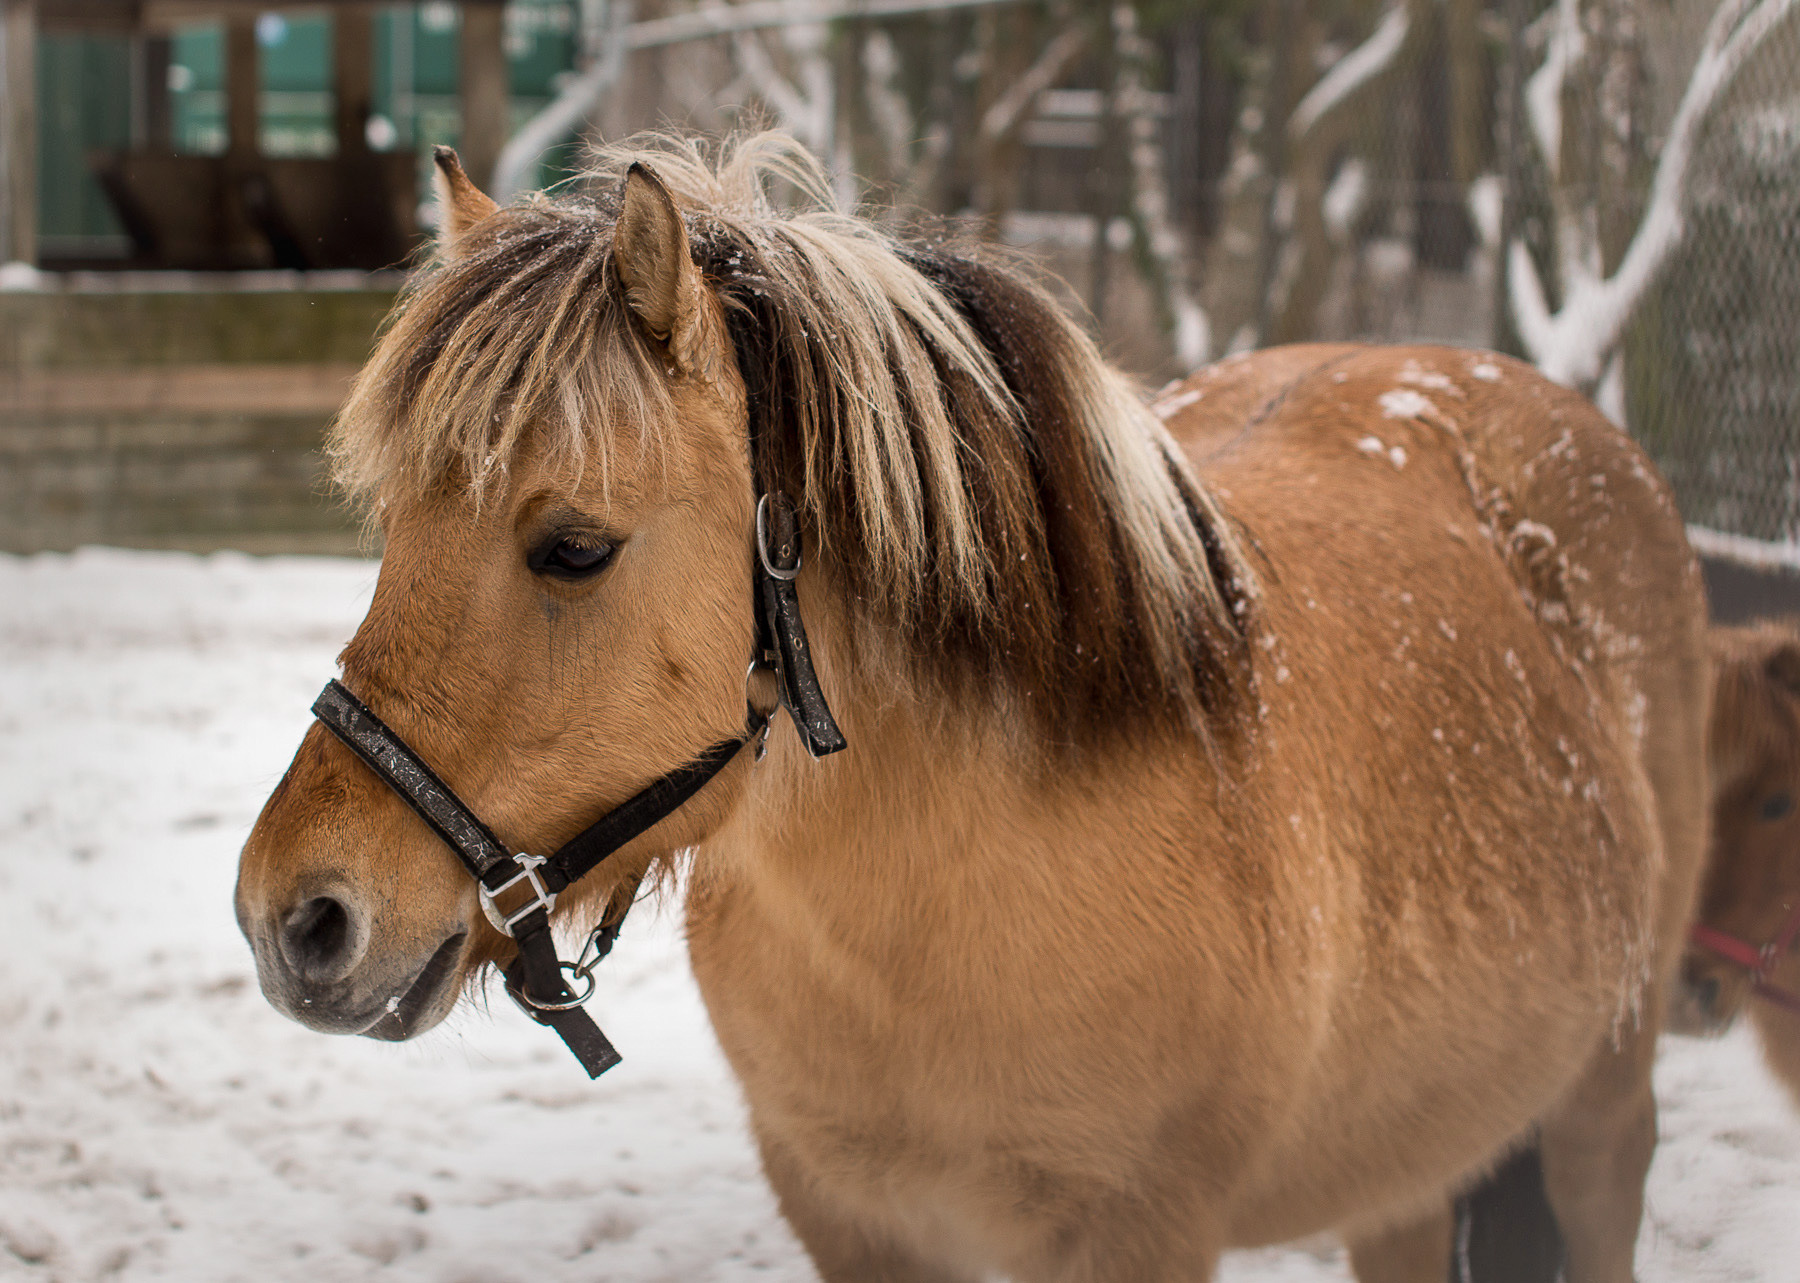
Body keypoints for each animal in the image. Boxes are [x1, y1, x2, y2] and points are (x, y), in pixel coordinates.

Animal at [232, 132, 1706, 1281]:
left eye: (574, 548)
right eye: (395, 531)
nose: (291, 918)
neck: (944, 901)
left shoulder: (1135, 1233)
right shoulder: (851, 1218)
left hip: (1603, 1111)